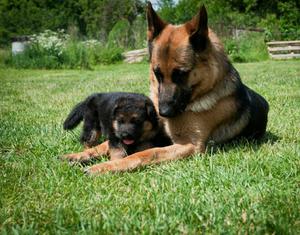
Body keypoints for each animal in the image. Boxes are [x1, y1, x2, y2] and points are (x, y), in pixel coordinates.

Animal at [69, 2, 268, 174]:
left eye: (181, 74)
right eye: (157, 73)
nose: (162, 112)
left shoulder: (188, 145)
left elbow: (147, 153)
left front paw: (107, 165)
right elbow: (106, 144)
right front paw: (82, 154)